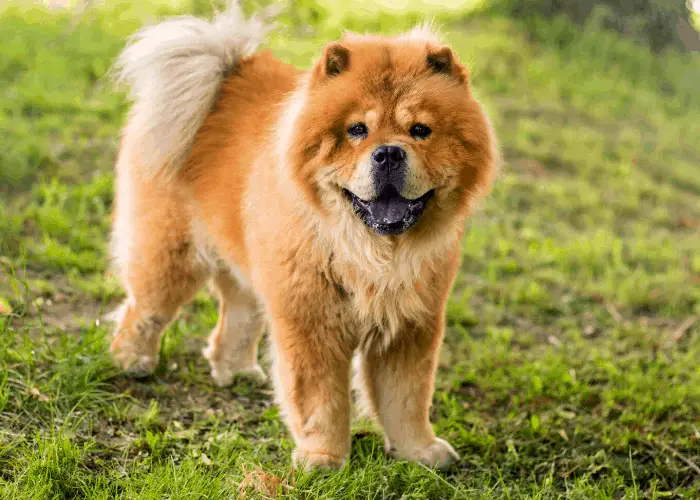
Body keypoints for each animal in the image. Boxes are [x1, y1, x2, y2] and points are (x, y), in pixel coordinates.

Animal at [110, 0, 498, 468]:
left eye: (420, 130)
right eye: (356, 130)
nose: (388, 153)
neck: (372, 254)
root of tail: (223, 72)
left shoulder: (411, 327)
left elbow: (407, 399)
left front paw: (420, 451)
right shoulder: (311, 323)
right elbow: (320, 399)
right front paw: (324, 458)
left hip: (252, 268)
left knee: (237, 318)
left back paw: (235, 371)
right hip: (172, 259)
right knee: (143, 310)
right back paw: (132, 361)